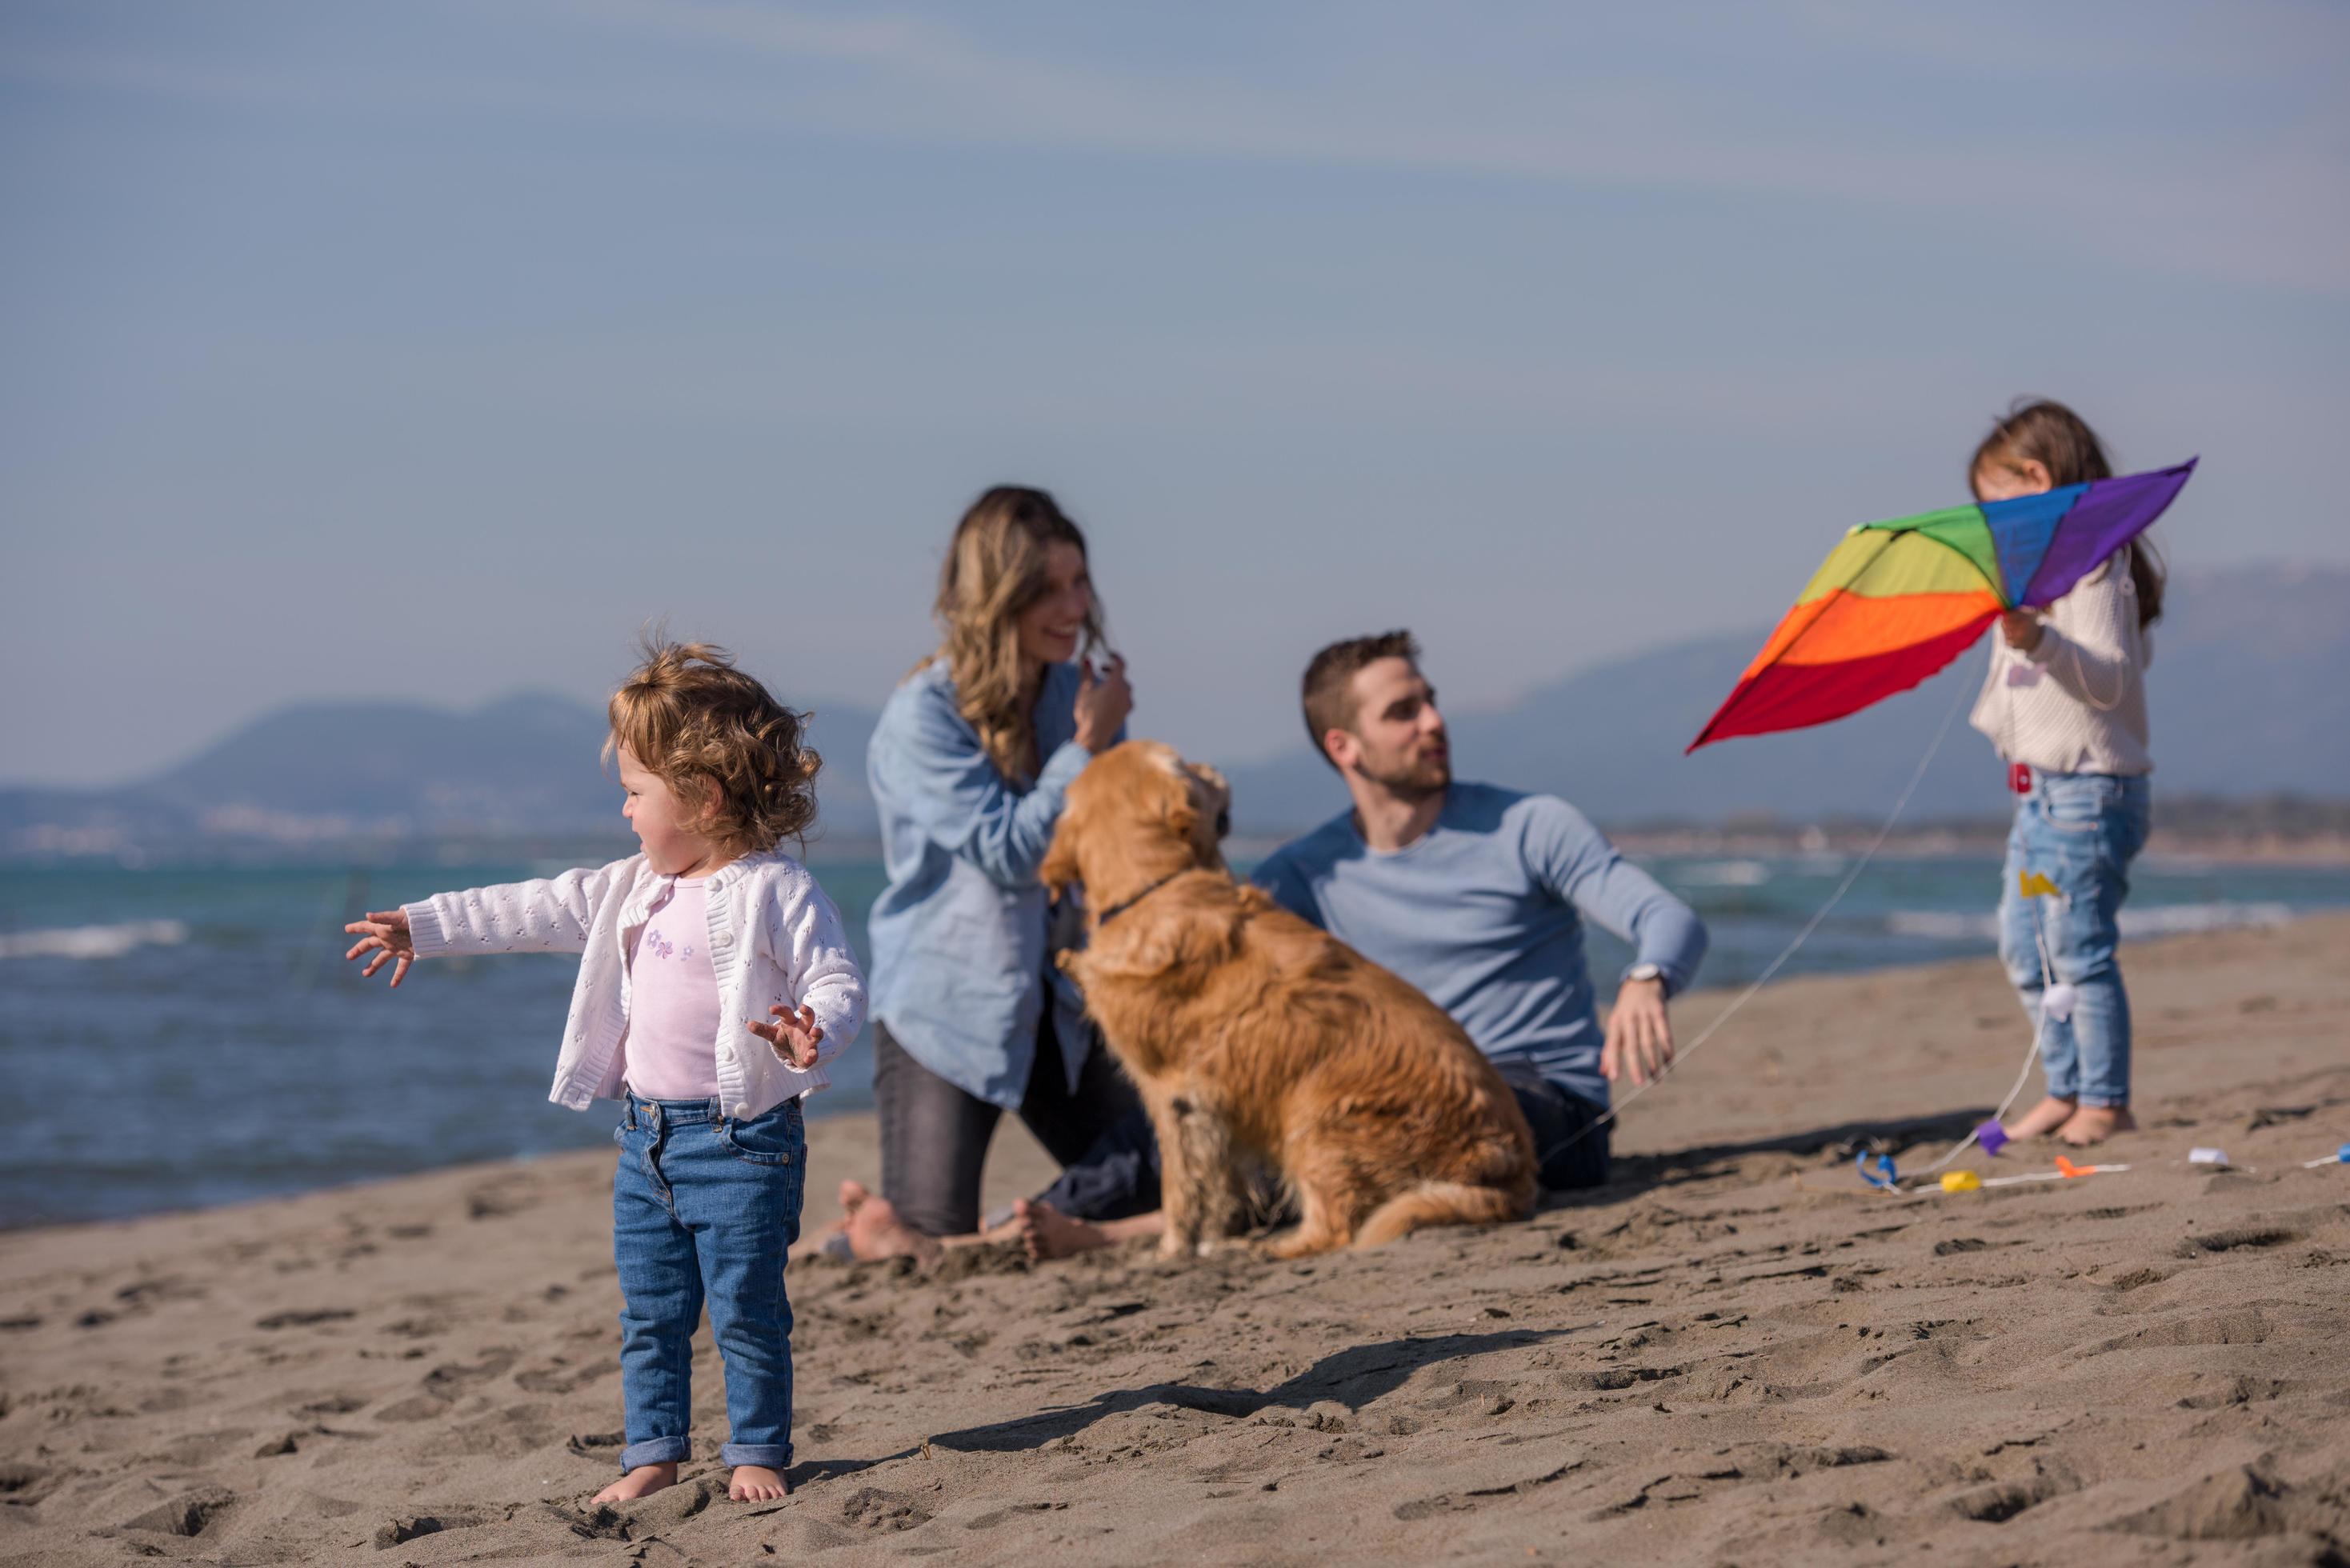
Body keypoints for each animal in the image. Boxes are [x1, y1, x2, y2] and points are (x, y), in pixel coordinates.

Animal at [1047, 738, 1541, 1260]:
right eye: (1189, 767)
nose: (1214, 766)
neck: (1153, 888)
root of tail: (1515, 1172)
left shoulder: (1172, 1094)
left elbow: (1180, 1188)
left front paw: (1171, 1251)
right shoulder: (1212, 1107)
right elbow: (1219, 1184)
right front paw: (1215, 1238)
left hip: (1314, 1115)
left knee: (1336, 1228)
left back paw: (1272, 1248)